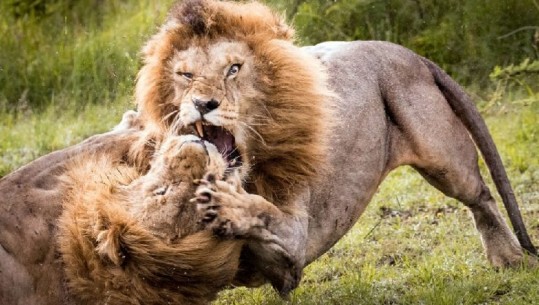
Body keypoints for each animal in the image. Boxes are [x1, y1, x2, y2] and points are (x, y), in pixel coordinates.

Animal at [132, 0, 539, 294]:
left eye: (234, 69)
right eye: (185, 74)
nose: (204, 103)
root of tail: (409, 54)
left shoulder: (293, 249)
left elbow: (263, 213)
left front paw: (224, 202)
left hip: (444, 158)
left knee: (481, 195)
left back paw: (508, 258)